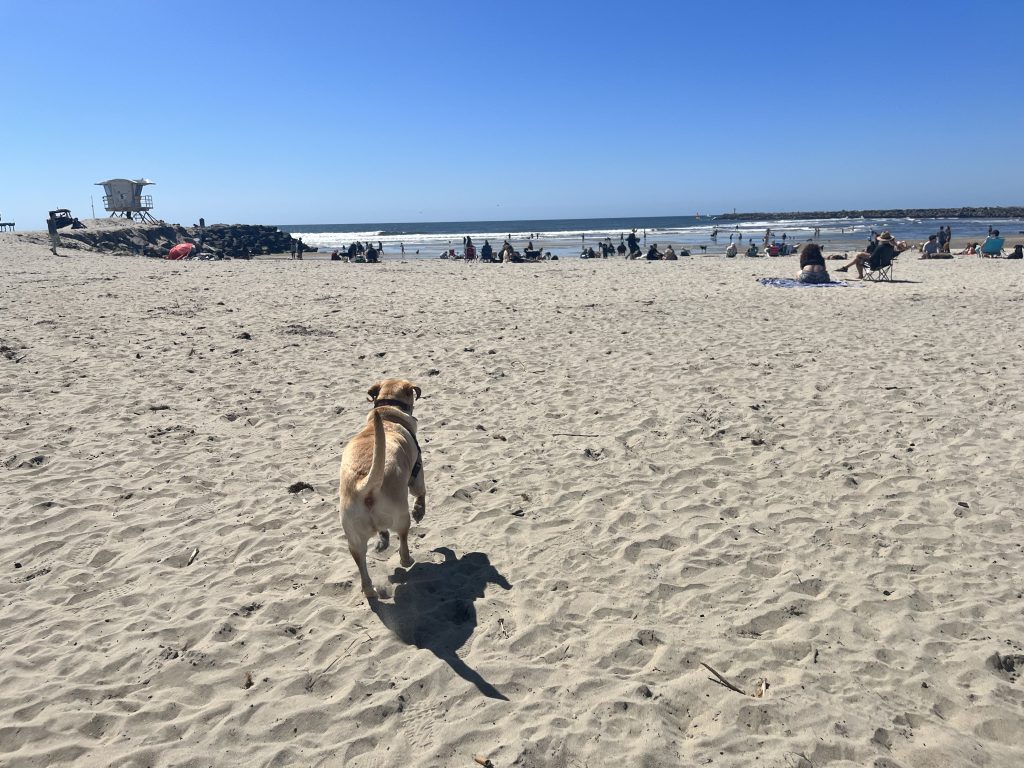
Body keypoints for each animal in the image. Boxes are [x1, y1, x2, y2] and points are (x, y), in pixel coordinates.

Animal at [342, 380, 425, 602]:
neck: (387, 413)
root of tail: (365, 485)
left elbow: (383, 532)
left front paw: (382, 541)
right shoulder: (418, 472)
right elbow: (421, 494)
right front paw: (420, 511)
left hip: (354, 540)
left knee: (362, 566)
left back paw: (370, 590)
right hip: (401, 516)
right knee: (403, 540)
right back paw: (407, 560)